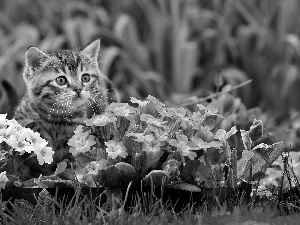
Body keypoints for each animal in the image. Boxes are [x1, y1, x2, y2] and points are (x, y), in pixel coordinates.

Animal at [13, 40, 106, 181]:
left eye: (85, 78)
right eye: (61, 80)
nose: (78, 89)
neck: (58, 117)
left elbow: (68, 162)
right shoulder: (20, 118)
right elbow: (29, 126)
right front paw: (43, 141)